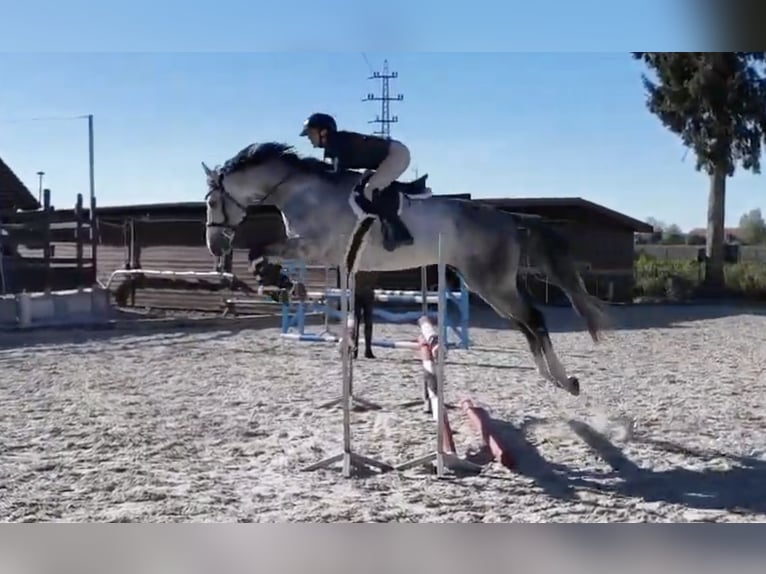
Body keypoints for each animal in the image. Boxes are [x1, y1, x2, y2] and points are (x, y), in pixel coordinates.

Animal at [202, 142, 611, 396]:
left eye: (210, 202)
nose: (215, 246)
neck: (302, 190)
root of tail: (508, 219)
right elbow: (261, 254)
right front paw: (279, 284)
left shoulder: (313, 245)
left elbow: (259, 250)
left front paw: (276, 282)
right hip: (488, 285)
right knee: (525, 324)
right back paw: (550, 377)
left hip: (491, 283)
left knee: (534, 319)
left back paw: (565, 381)